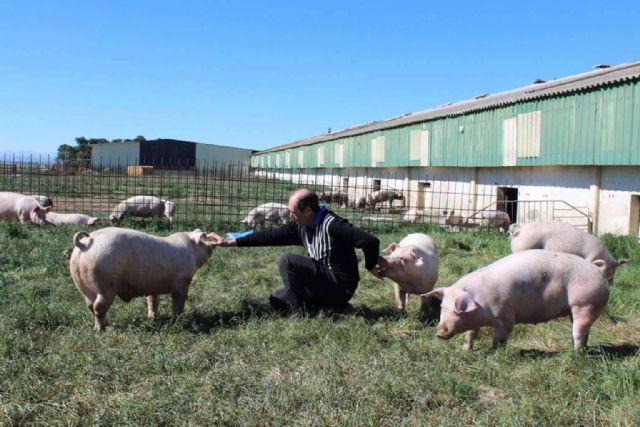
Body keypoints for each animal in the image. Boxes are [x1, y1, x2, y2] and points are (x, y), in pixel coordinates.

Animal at [69, 227, 220, 332]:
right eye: (203, 238)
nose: (213, 243)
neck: (191, 251)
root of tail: (85, 244)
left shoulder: (153, 286)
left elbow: (153, 302)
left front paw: (152, 319)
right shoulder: (182, 283)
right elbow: (178, 303)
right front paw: (179, 319)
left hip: (82, 285)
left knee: (90, 305)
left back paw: (104, 325)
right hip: (105, 285)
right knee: (98, 307)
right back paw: (101, 330)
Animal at [424, 251, 608, 352]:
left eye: (457, 310)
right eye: (442, 307)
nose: (439, 332)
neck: (480, 306)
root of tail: (598, 270)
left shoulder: (505, 318)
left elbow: (499, 339)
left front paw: (495, 353)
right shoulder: (475, 321)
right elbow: (470, 334)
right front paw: (465, 350)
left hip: (585, 304)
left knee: (579, 331)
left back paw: (575, 354)